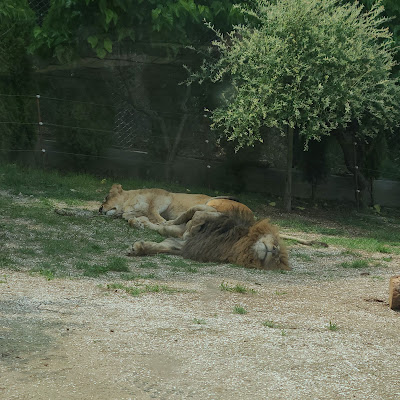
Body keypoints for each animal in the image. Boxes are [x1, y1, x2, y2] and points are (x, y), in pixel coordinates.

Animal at [128, 200, 290, 272]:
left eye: (276, 260)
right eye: (276, 244)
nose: (274, 250)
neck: (240, 244)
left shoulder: (184, 245)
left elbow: (162, 246)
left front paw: (138, 248)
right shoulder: (220, 217)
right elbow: (199, 217)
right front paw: (192, 228)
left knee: (162, 228)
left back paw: (141, 222)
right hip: (208, 206)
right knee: (182, 217)